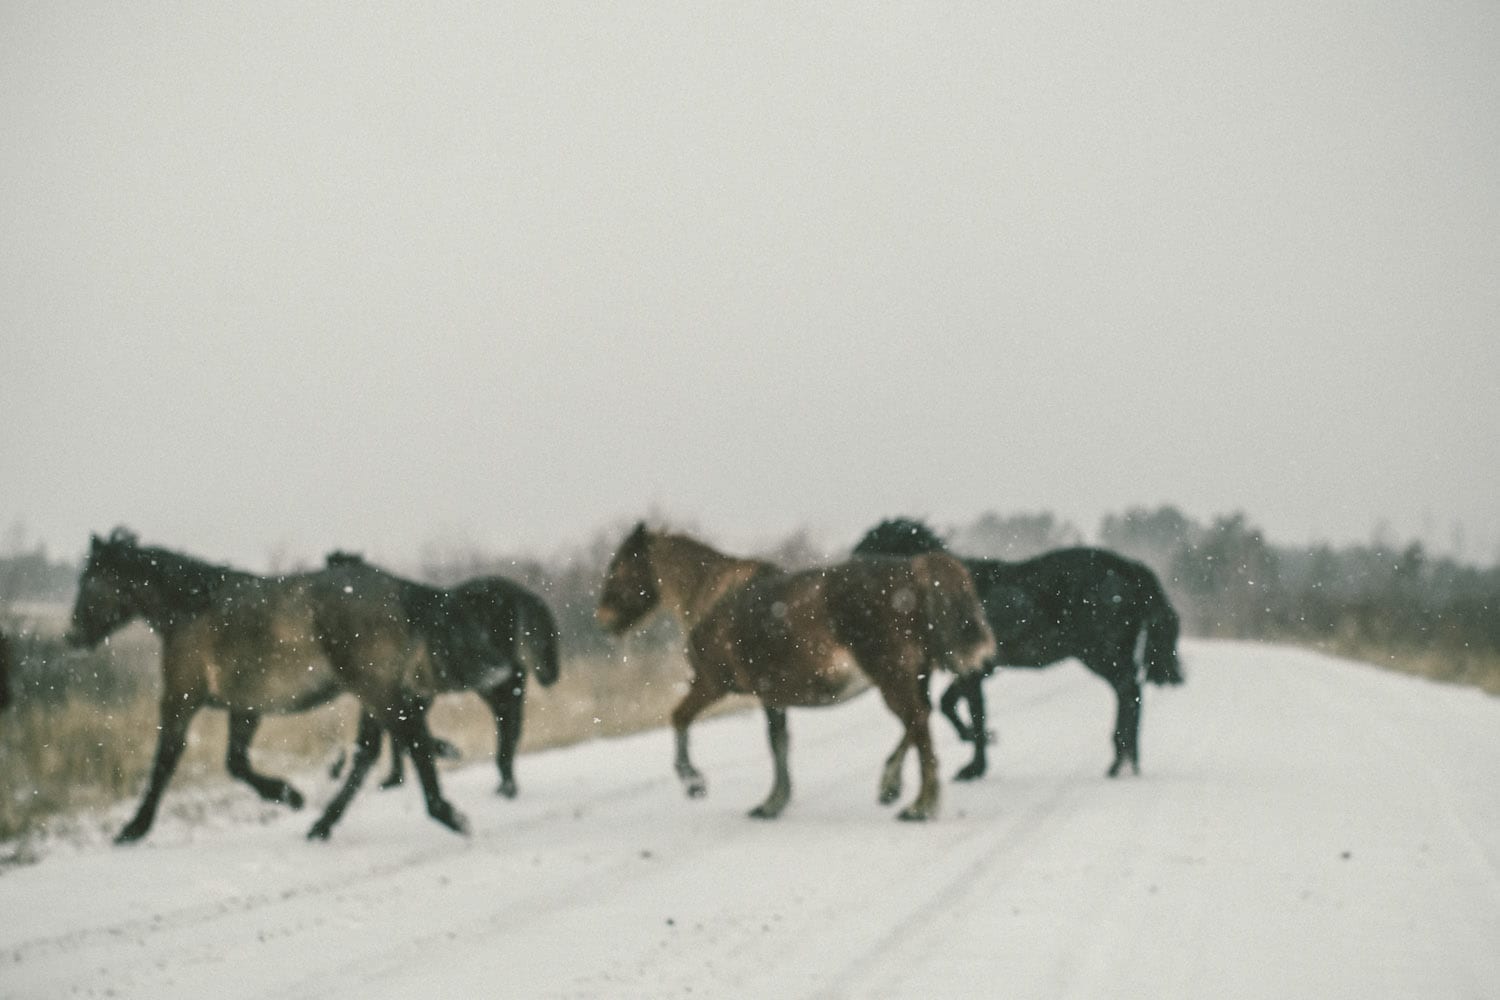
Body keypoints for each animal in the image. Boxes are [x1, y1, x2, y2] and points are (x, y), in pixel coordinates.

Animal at [66, 527, 558, 839]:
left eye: (89, 580)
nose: (71, 636)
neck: (191, 609)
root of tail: (400, 590)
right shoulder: (246, 707)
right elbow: (236, 762)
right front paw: (290, 795)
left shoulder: (180, 698)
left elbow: (166, 760)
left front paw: (133, 829)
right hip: (378, 691)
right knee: (385, 746)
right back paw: (324, 824)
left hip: (377, 689)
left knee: (412, 738)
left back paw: (449, 813)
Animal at [597, 524, 996, 821]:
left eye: (618, 567)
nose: (602, 620)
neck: (712, 595)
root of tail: (913, 572)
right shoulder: (771, 695)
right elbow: (779, 743)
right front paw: (772, 802)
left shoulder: (710, 684)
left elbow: (679, 718)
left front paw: (693, 782)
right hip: (913, 677)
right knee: (918, 720)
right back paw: (893, 786)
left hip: (892, 677)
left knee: (918, 723)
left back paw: (920, 806)